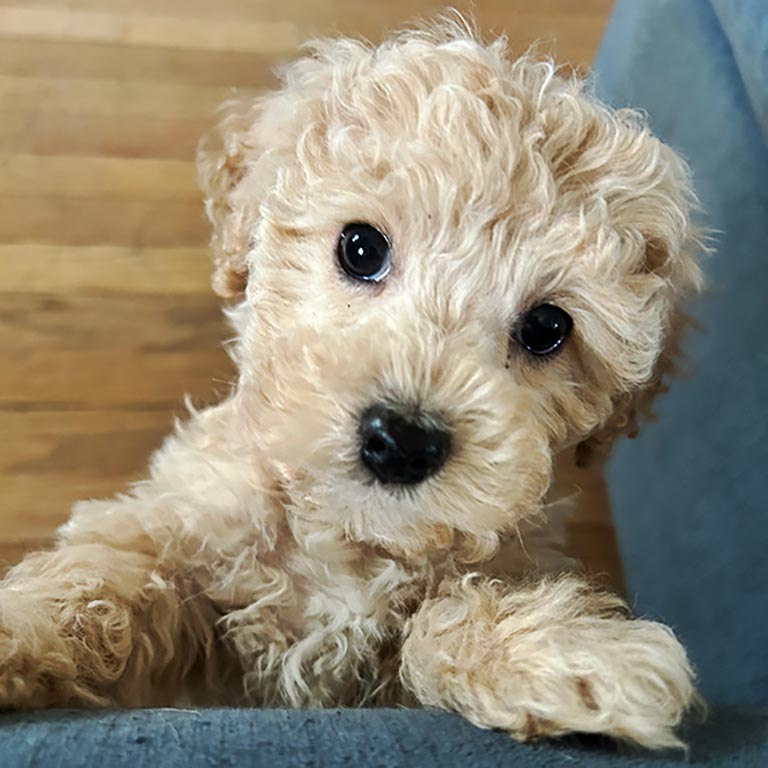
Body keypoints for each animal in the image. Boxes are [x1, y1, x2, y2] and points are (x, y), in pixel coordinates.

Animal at [0, 16, 704, 752]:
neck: (346, 540)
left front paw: (561, 649)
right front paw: (19, 623)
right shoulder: (190, 538)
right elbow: (106, 584)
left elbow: (445, 609)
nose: (402, 441)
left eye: (546, 328)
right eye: (361, 247)